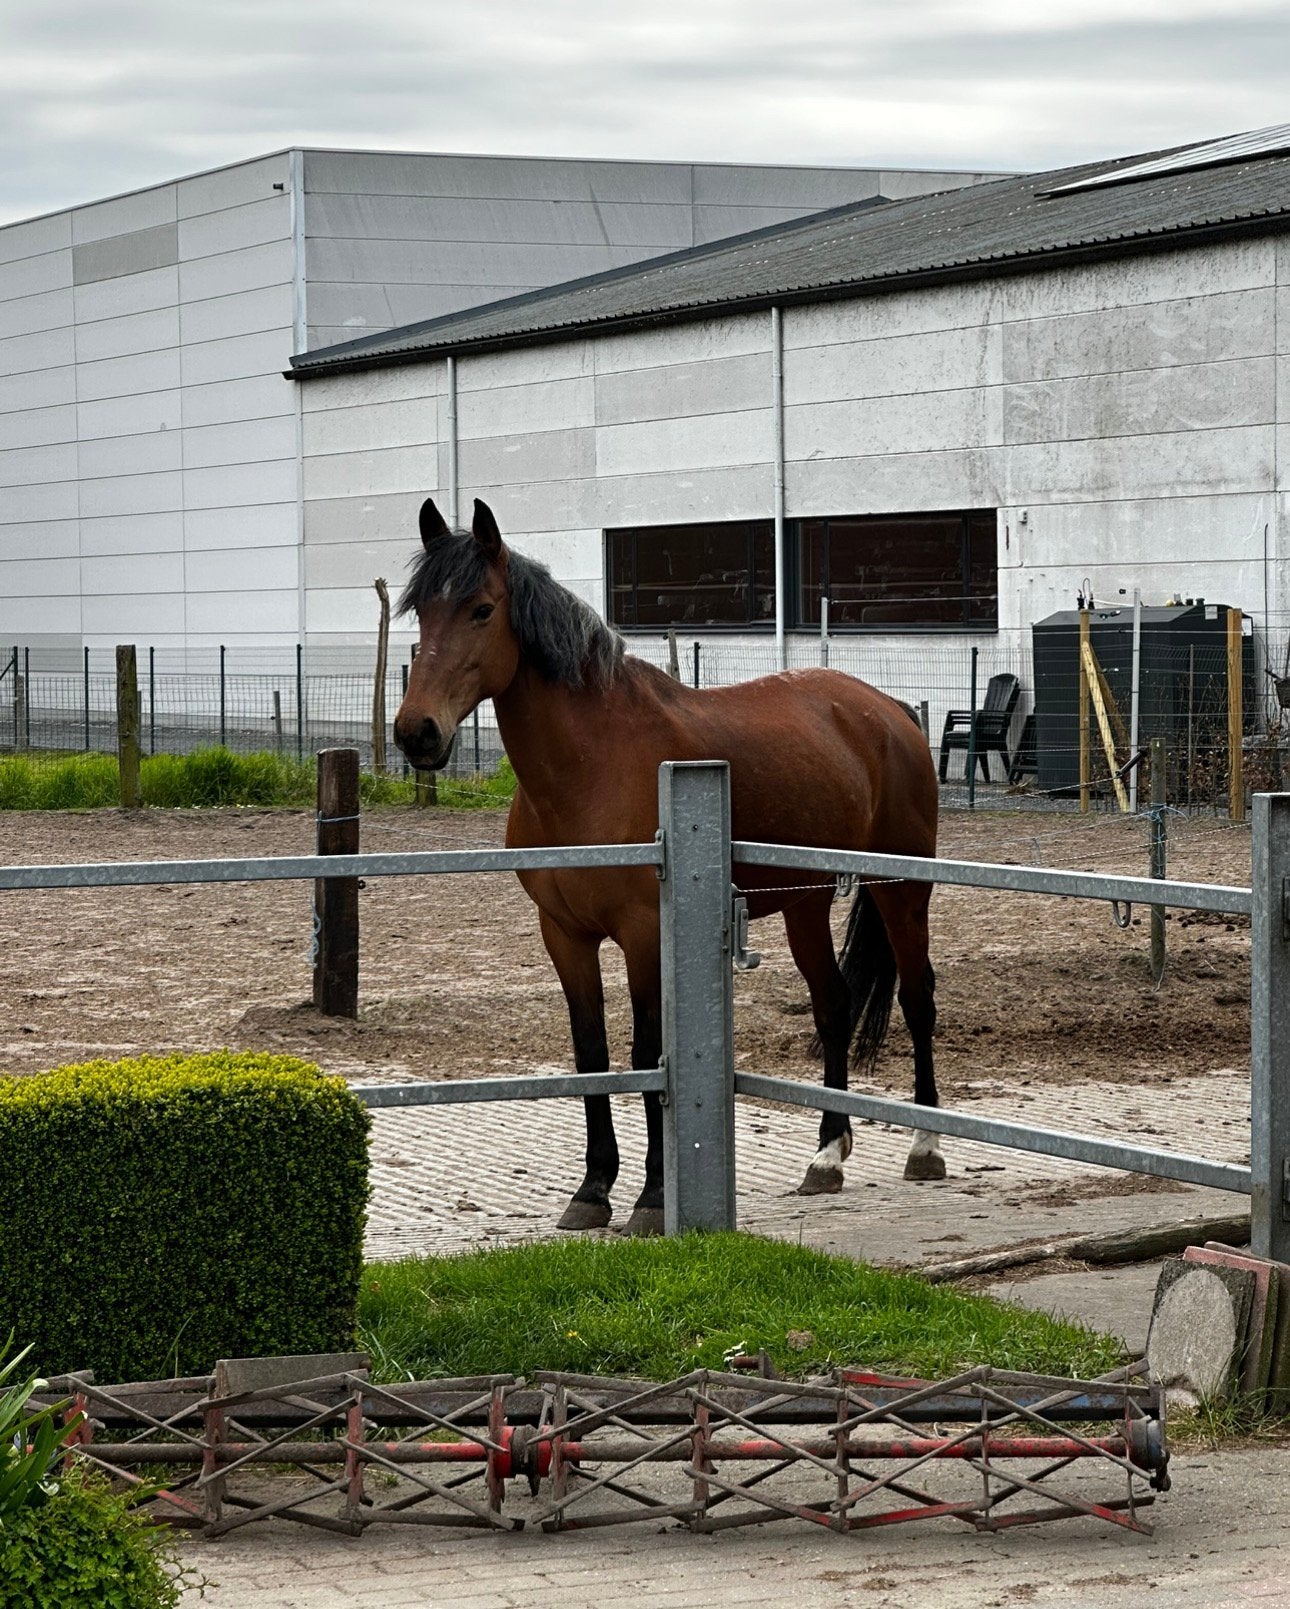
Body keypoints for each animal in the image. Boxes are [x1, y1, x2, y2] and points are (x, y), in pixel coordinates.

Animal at [393, 496, 943, 1236]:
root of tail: (890, 711)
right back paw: (826, 1156)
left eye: (481, 608)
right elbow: (592, 1055)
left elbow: (646, 1052)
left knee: (918, 996)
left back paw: (926, 1146)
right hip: (805, 902)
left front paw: (653, 1198)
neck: (591, 767)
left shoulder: (644, 933)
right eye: (422, 611)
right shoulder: (564, 935)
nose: (416, 732)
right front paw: (593, 1189)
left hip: (903, 887)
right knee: (833, 1003)